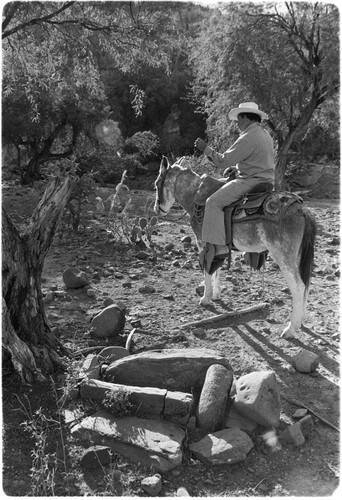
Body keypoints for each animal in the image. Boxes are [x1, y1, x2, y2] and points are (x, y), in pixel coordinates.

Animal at [154, 154, 316, 338]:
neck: (195, 195)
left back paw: (290, 328)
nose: (157, 209)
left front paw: (206, 298)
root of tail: (301, 209)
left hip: (283, 257)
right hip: (297, 256)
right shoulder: (217, 244)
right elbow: (216, 268)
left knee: (298, 286)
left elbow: (207, 270)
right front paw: (216, 295)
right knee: (305, 284)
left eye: (157, 184)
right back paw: (301, 320)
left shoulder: (202, 242)